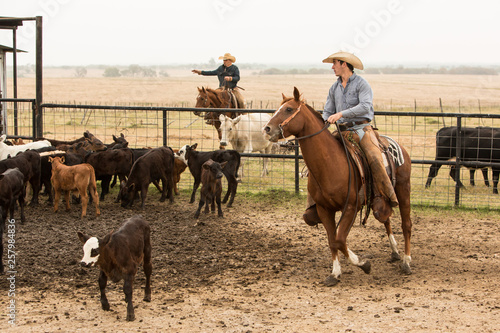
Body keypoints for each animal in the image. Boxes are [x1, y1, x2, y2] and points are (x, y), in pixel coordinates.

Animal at [264, 87, 412, 286]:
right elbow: (332, 240)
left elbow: (340, 240)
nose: (267, 128)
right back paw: (395, 252)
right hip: (379, 201)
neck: (330, 163)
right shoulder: (324, 209)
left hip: (403, 190)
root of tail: (398, 146)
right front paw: (335, 273)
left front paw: (364, 264)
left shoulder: (350, 207)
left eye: (288, 109)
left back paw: (406, 261)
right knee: (385, 218)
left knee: (406, 224)